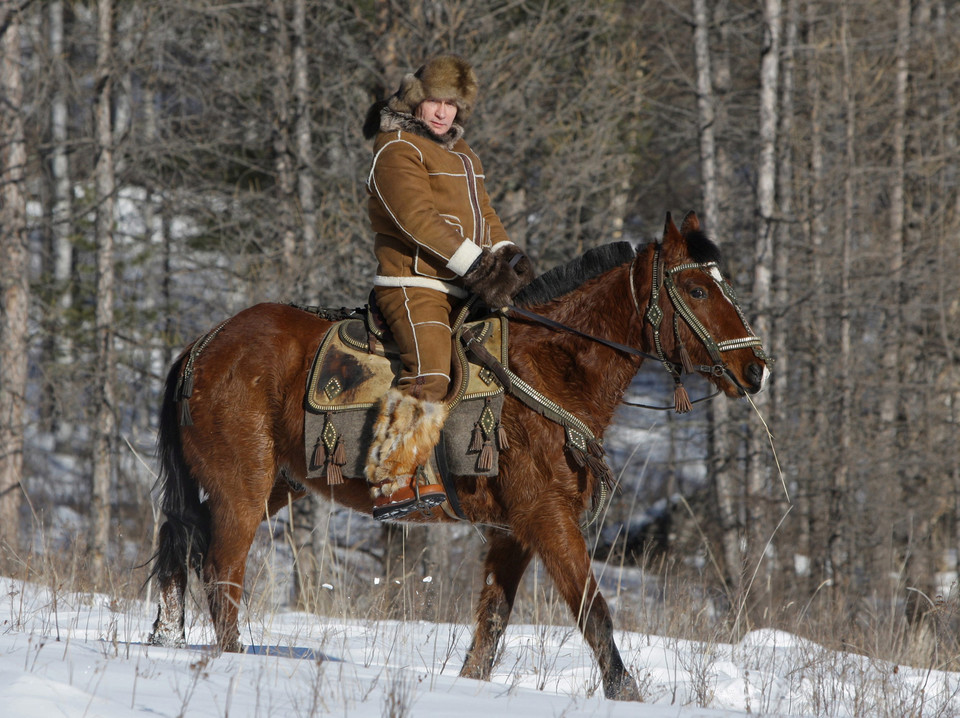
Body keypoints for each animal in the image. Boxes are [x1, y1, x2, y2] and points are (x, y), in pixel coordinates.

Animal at [146, 210, 768, 704]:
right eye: (697, 291)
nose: (755, 368)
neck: (552, 369)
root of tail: (204, 343)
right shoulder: (548, 518)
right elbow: (594, 611)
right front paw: (627, 693)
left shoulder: (512, 535)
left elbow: (490, 627)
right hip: (242, 487)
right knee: (222, 572)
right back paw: (231, 658)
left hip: (274, 486)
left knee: (187, 551)